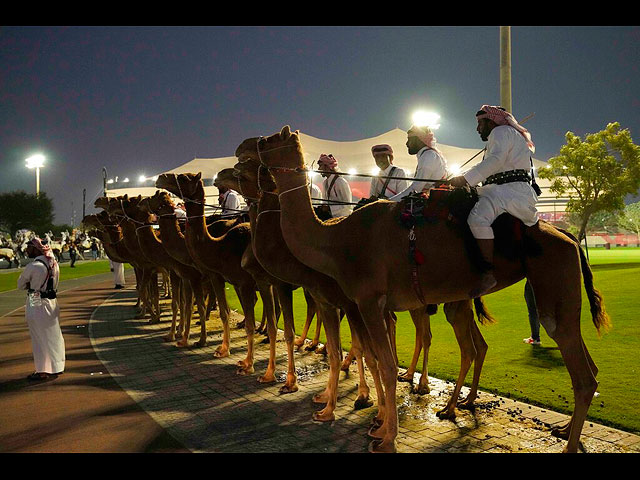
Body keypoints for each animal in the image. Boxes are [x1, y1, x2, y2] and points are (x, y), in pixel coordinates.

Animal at [250, 124, 608, 454]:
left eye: (272, 140)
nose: (253, 146)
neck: (336, 240)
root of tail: (568, 237)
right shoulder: (373, 305)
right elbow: (380, 359)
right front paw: (378, 422)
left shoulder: (367, 300)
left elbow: (386, 364)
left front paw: (385, 437)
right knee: (585, 365)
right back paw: (558, 429)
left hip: (551, 279)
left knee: (577, 368)